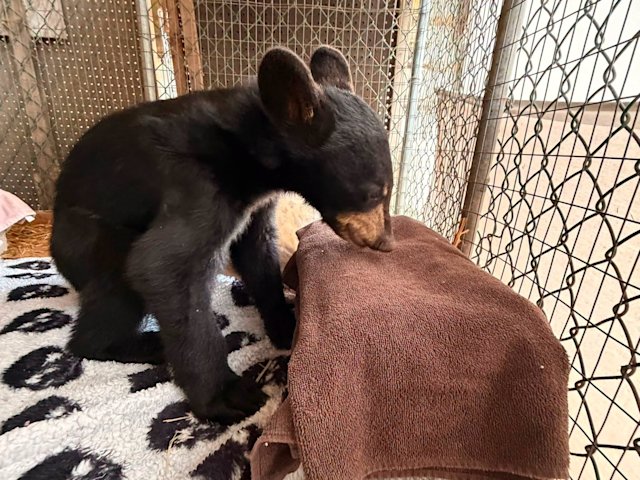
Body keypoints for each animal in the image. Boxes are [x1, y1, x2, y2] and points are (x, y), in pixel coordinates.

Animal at [50, 46, 394, 422]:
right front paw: (227, 395)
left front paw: (286, 326)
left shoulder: (256, 205)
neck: (249, 155)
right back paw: (144, 343)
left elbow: (257, 255)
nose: (385, 242)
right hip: (93, 240)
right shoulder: (197, 184)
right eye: (373, 193)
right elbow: (163, 266)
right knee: (115, 290)